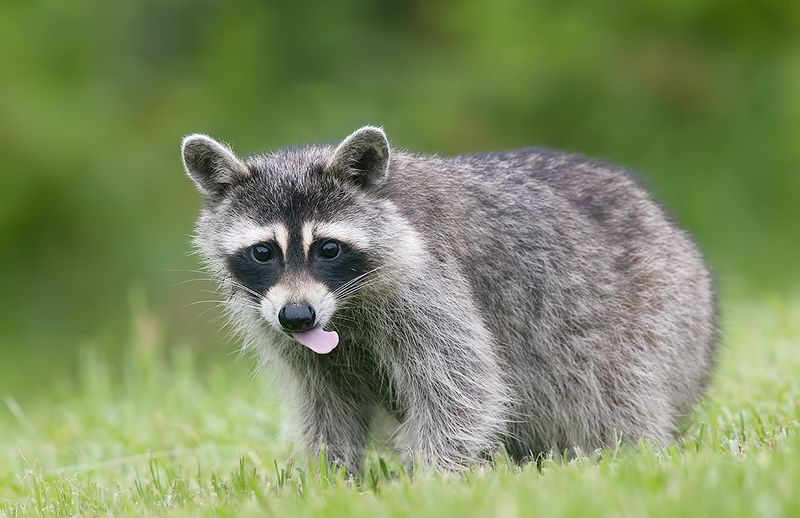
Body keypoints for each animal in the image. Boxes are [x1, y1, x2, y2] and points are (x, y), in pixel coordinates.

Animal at [181, 126, 717, 473]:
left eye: (328, 249)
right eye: (264, 252)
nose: (296, 316)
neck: (344, 310)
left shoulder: (429, 286)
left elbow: (461, 388)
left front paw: (433, 481)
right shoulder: (279, 323)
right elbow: (327, 403)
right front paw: (328, 480)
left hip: (658, 320)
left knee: (615, 399)